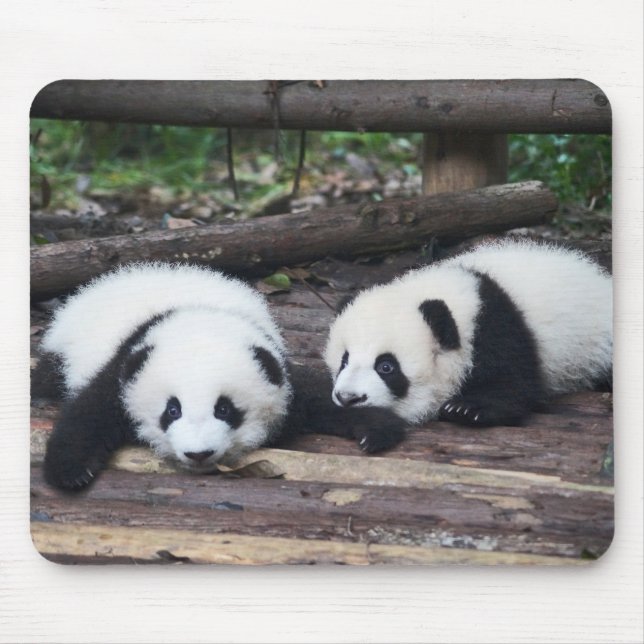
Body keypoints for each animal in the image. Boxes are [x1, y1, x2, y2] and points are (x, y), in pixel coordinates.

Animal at [39, 262, 406, 490]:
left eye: (225, 409)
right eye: (172, 410)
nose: (199, 454)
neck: (200, 316)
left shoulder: (275, 366)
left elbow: (319, 396)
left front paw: (375, 428)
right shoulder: (127, 363)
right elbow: (90, 412)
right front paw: (71, 472)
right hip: (62, 350)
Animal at [324, 239, 612, 453]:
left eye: (386, 367)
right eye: (344, 360)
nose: (348, 398)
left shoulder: (496, 328)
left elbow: (514, 383)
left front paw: (467, 408)